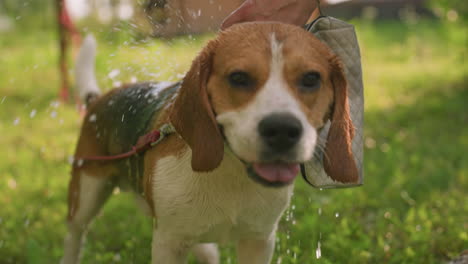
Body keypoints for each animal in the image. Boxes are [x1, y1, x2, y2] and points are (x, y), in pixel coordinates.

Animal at [61, 21, 354, 262]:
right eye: (238, 78)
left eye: (311, 79)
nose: (282, 130)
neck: (232, 172)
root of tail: (99, 100)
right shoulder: (168, 242)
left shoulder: (259, 240)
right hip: (85, 194)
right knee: (75, 234)